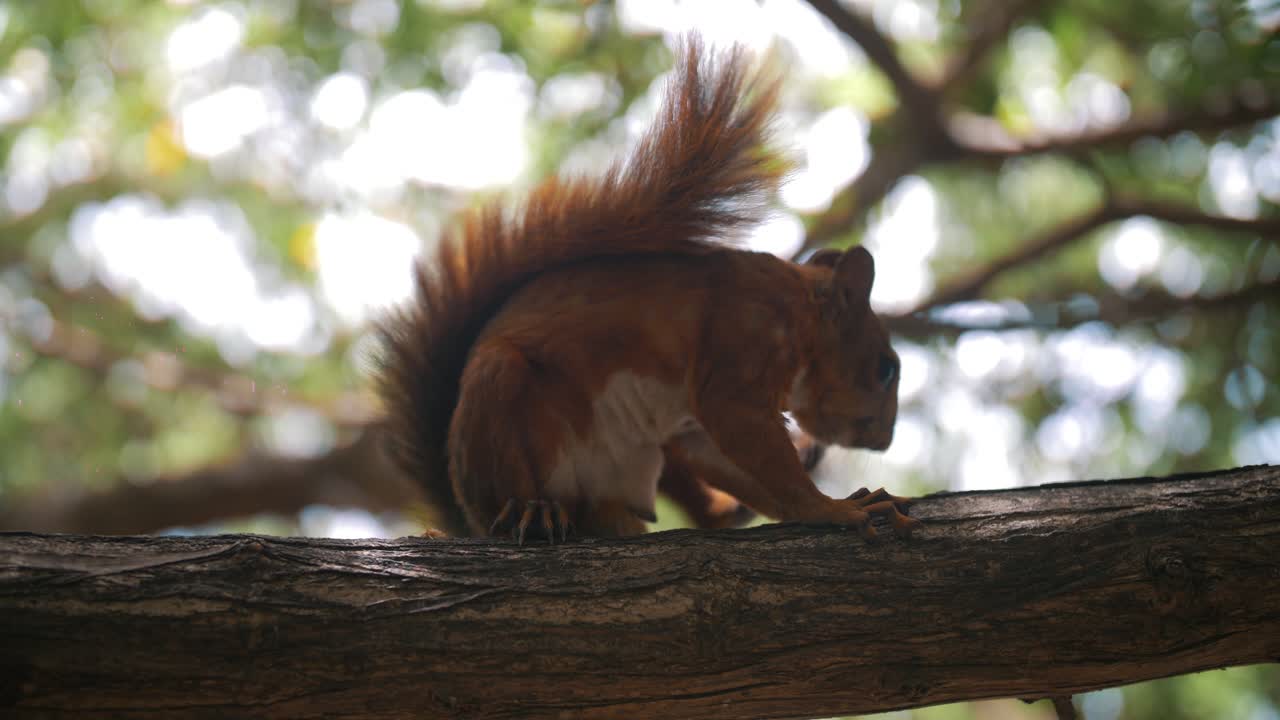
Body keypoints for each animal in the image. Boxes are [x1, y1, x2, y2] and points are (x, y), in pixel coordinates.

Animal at [376, 35, 917, 543]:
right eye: (886, 369)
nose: (887, 439)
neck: (798, 313)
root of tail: (464, 511)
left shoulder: (696, 422)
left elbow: (742, 468)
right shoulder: (739, 348)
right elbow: (752, 440)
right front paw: (832, 509)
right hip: (497, 391)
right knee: (504, 495)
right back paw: (531, 511)